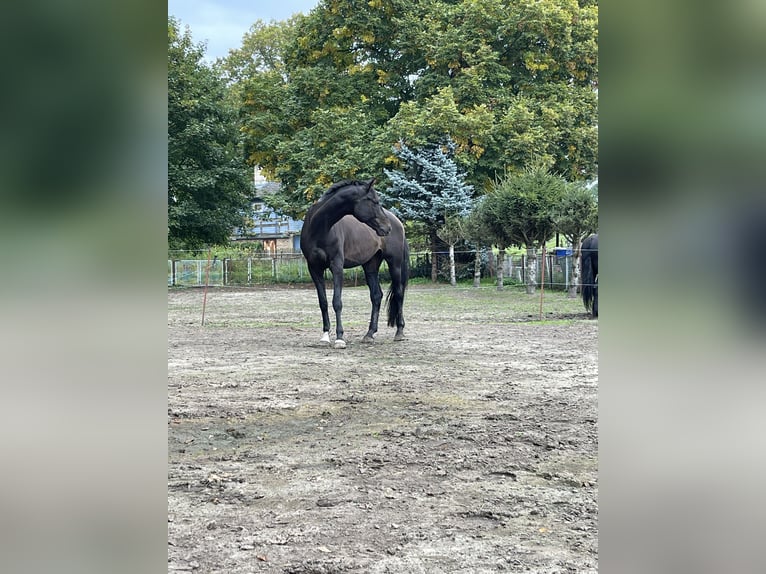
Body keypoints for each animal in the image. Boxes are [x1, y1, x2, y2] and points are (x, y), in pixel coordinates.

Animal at [300, 178, 409, 348]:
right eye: (374, 201)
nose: (387, 227)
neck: (319, 227)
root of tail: (398, 222)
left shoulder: (336, 266)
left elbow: (337, 302)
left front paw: (339, 338)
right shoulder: (314, 268)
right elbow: (323, 302)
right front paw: (325, 336)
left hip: (395, 264)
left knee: (399, 293)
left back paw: (399, 332)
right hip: (370, 266)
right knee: (376, 296)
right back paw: (369, 334)